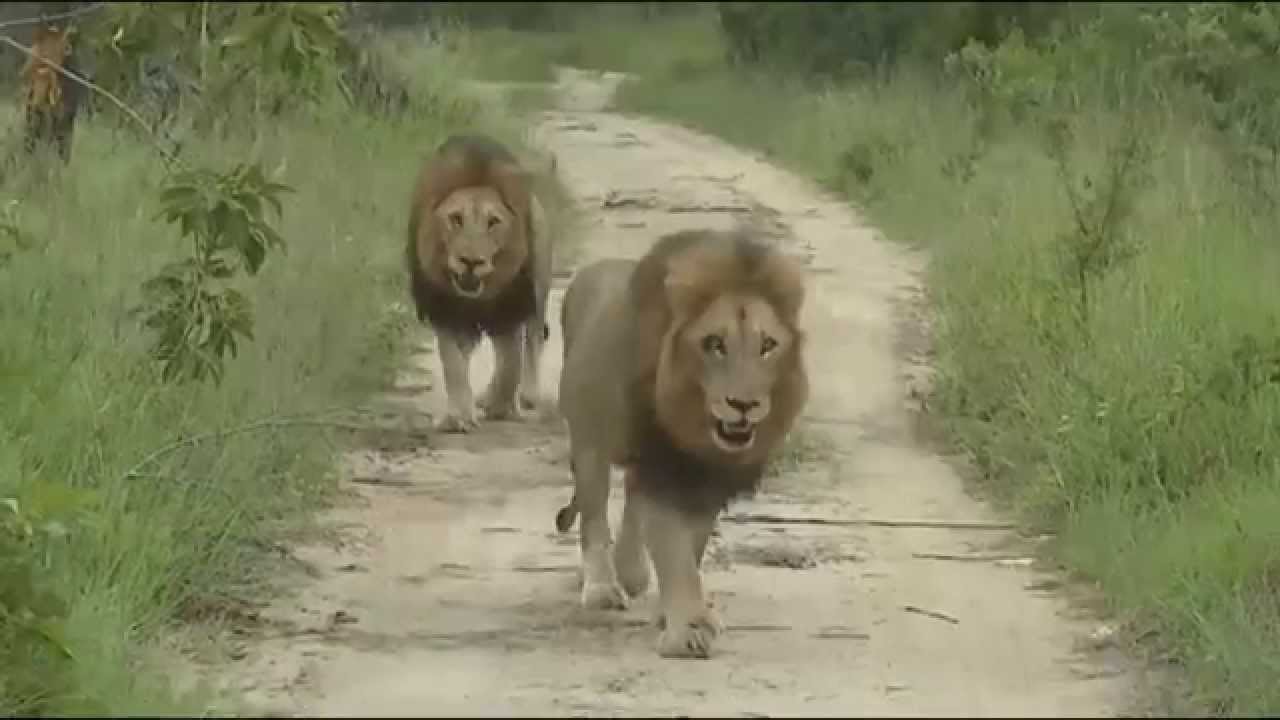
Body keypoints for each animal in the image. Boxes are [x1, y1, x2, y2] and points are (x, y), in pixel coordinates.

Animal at [406, 133, 554, 433]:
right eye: (455, 219)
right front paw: (458, 416)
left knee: (532, 340)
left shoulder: (511, 306)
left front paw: (500, 406)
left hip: (538, 288)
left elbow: (511, 362)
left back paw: (526, 395)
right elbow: (453, 364)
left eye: (493, 222)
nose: (471, 261)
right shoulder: (445, 311)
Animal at [555, 228, 809, 659]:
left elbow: (692, 548)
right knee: (594, 515)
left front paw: (669, 613)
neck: (699, 437)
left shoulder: (706, 484)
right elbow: (674, 552)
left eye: (767, 346)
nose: (743, 405)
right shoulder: (663, 472)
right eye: (714, 343)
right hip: (588, 441)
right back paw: (603, 587)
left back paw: (632, 573)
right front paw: (687, 632)